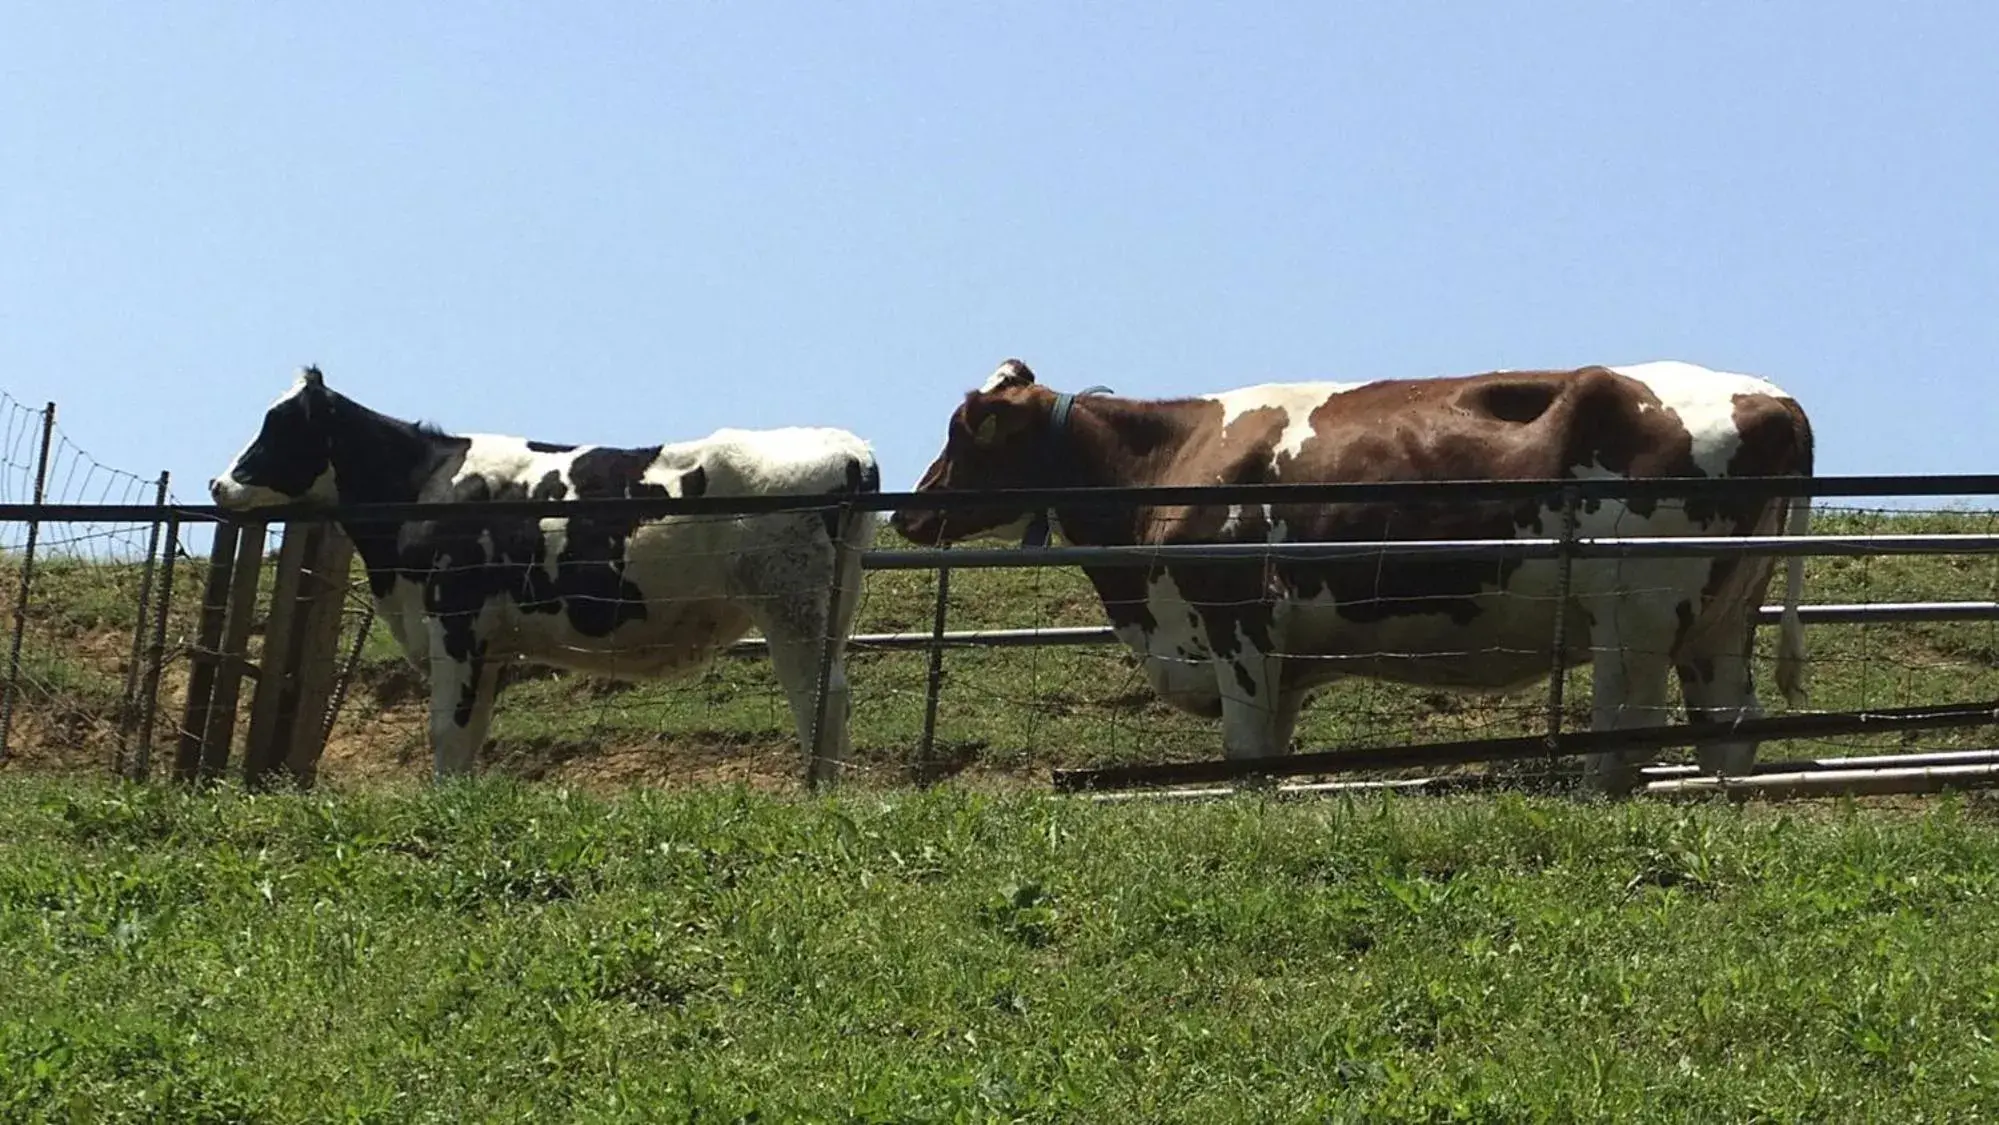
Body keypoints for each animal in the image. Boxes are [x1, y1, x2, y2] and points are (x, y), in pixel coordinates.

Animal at [214, 365, 879, 787]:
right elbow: (472, 729)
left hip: (792, 604)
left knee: (820, 695)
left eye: (279, 426)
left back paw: (819, 790)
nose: (217, 484)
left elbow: (446, 728)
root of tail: (850, 448)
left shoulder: (454, 622)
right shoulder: (486, 644)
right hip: (830, 605)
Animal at [891, 359, 1815, 791]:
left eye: (967, 431)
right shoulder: (1280, 658)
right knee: (1728, 729)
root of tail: (1768, 395)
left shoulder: (1236, 625)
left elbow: (1244, 756)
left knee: (1624, 739)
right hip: (1717, 619)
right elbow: (1268, 753)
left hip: (1635, 615)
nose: (911, 512)